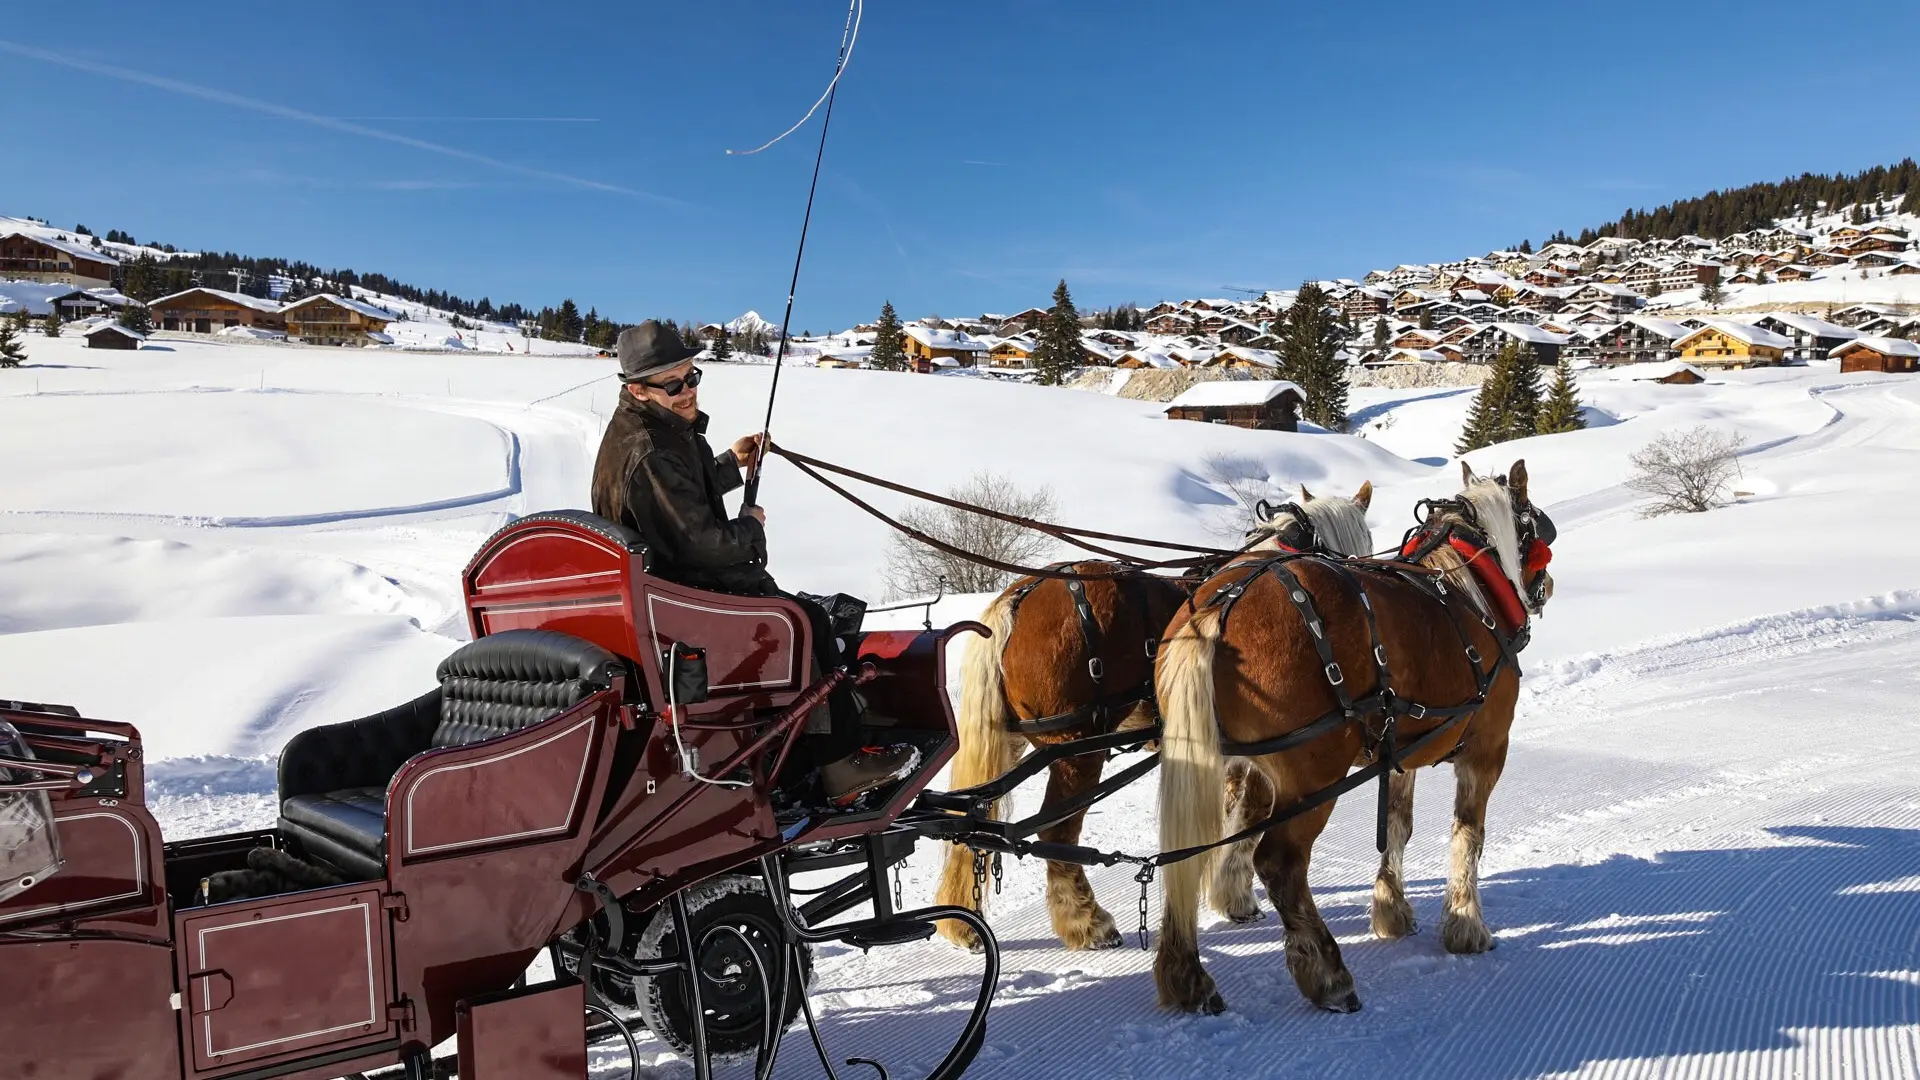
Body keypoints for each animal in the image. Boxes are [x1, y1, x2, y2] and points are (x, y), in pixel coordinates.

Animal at [933, 484, 1382, 945]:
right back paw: (1087, 922)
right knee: (1056, 830)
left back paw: (961, 922)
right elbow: (1249, 818)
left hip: (1009, 740)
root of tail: (1017, 597)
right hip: (1076, 748)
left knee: (971, 817)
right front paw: (1236, 897)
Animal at [1144, 461, 1551, 1006]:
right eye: (1536, 530)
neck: (1470, 590)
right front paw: (1466, 925)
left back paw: (1185, 974)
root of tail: (1220, 604)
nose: (1545, 585)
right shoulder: (1487, 751)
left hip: (1214, 762)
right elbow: (1469, 835)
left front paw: (1392, 910)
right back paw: (1327, 973)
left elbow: (1398, 826)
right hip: (1313, 776)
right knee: (1280, 862)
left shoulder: (1401, 752)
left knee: (1187, 857)